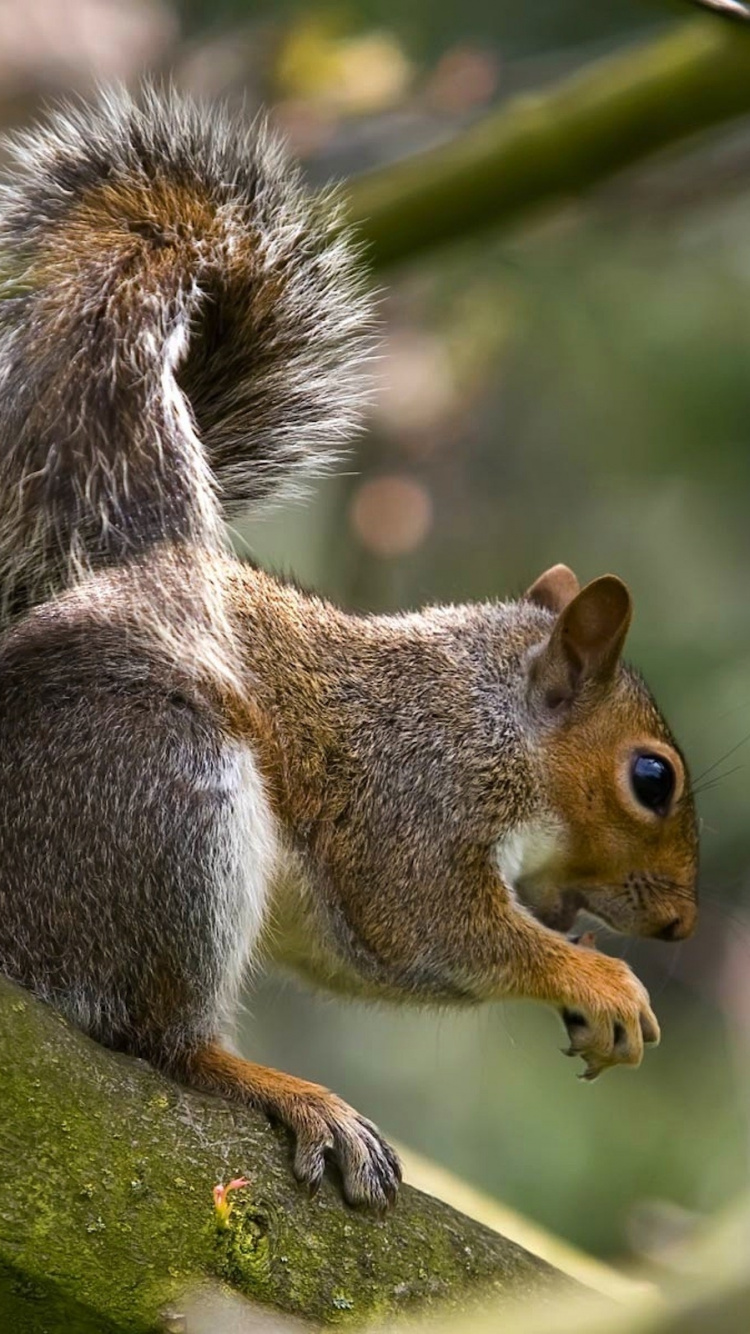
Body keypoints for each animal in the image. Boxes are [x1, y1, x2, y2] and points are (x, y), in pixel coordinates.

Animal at [0, 83, 693, 1211]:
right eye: (651, 778)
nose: (679, 926)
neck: (489, 716)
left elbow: (378, 953)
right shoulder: (413, 800)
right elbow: (431, 925)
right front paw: (599, 976)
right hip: (160, 799)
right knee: (153, 1035)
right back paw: (280, 1086)